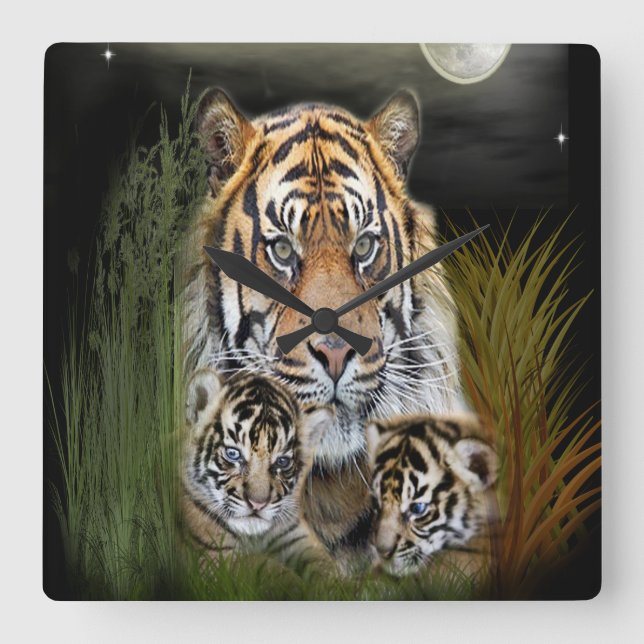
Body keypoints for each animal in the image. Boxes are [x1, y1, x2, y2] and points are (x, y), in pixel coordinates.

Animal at [181, 368, 335, 572]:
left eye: (282, 462)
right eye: (233, 454)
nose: (257, 504)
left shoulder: (295, 534)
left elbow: (326, 566)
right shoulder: (216, 555)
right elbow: (270, 569)